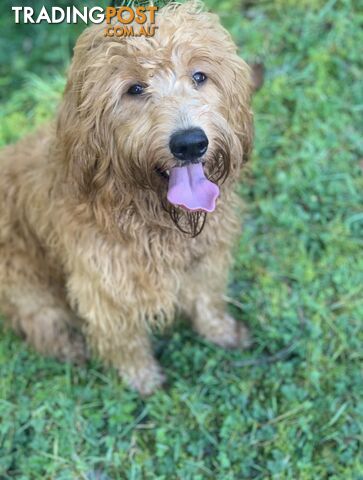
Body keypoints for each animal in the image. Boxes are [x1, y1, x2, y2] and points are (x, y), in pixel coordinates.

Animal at [0, 1, 255, 394]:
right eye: (134, 88)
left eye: (199, 76)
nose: (189, 143)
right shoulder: (104, 285)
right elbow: (124, 338)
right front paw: (143, 378)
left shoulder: (205, 257)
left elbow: (207, 298)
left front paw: (222, 331)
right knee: (40, 319)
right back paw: (69, 346)